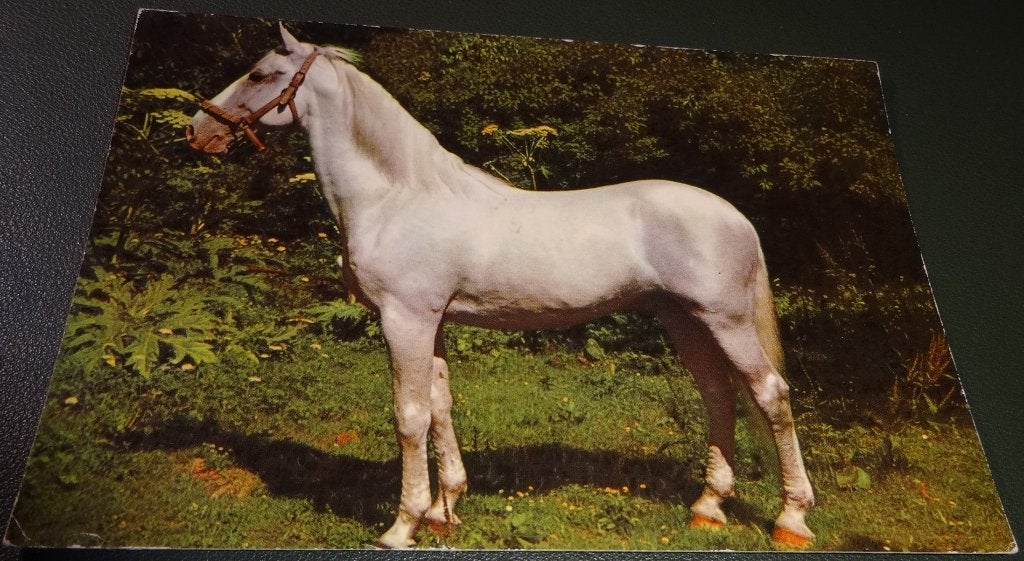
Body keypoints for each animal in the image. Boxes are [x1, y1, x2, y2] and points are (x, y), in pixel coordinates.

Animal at [186, 24, 815, 549]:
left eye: (261, 74)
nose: (198, 130)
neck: (397, 196)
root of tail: (735, 217)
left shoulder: (404, 319)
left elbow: (409, 416)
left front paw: (402, 526)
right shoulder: (432, 322)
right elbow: (440, 407)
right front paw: (443, 513)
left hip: (725, 320)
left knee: (770, 395)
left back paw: (791, 519)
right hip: (683, 320)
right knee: (719, 395)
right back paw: (707, 508)